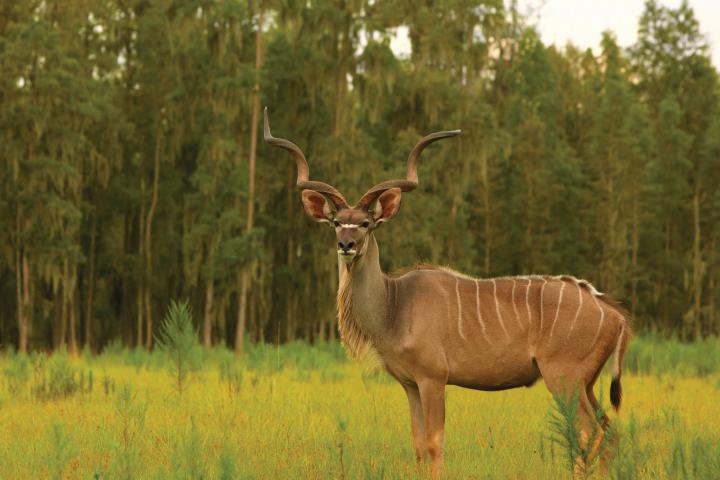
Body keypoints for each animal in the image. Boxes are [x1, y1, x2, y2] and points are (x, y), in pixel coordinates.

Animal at [263, 108, 631, 477]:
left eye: (366, 223)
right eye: (337, 223)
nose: (347, 245)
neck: (394, 305)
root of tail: (615, 315)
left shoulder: (433, 378)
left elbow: (433, 444)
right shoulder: (410, 384)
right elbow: (417, 445)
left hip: (564, 379)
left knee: (589, 434)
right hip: (585, 384)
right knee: (609, 433)